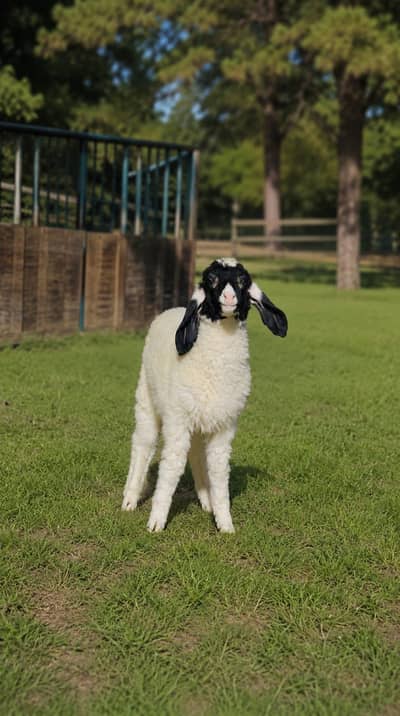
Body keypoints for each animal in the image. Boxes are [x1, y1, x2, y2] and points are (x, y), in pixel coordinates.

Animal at [122, 257, 288, 533]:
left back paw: (206, 500)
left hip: (201, 421)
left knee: (196, 454)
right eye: (211, 279)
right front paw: (156, 522)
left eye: (242, 281)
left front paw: (225, 523)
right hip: (147, 401)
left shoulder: (224, 427)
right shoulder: (178, 421)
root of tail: (171, 310)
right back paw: (130, 498)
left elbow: (219, 473)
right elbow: (171, 467)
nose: (229, 297)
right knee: (143, 445)